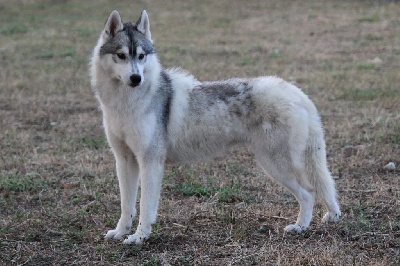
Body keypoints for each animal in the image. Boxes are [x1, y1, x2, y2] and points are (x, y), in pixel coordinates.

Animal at [90, 9, 340, 244]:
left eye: (141, 56)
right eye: (121, 55)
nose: (136, 78)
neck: (126, 103)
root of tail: (296, 92)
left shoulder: (150, 162)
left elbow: (145, 207)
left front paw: (139, 238)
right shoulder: (125, 161)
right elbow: (127, 206)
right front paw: (121, 233)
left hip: (275, 165)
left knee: (309, 193)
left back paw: (300, 227)